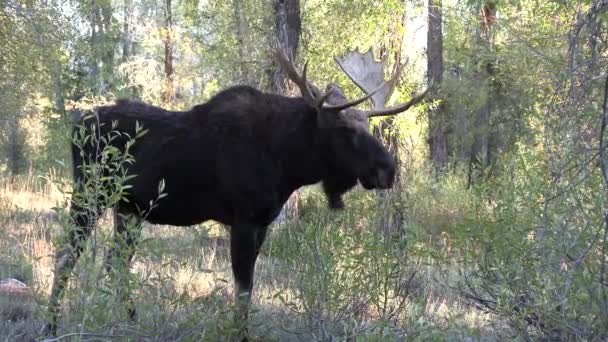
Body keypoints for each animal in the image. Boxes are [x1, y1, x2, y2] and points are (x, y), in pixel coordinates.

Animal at [45, 50, 430, 336]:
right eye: (345, 128)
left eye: (368, 125)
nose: (388, 169)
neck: (288, 162)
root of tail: (75, 124)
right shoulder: (243, 219)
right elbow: (243, 290)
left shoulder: (264, 222)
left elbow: (248, 288)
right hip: (89, 195)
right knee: (66, 256)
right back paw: (51, 327)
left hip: (129, 208)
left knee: (117, 264)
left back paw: (130, 323)